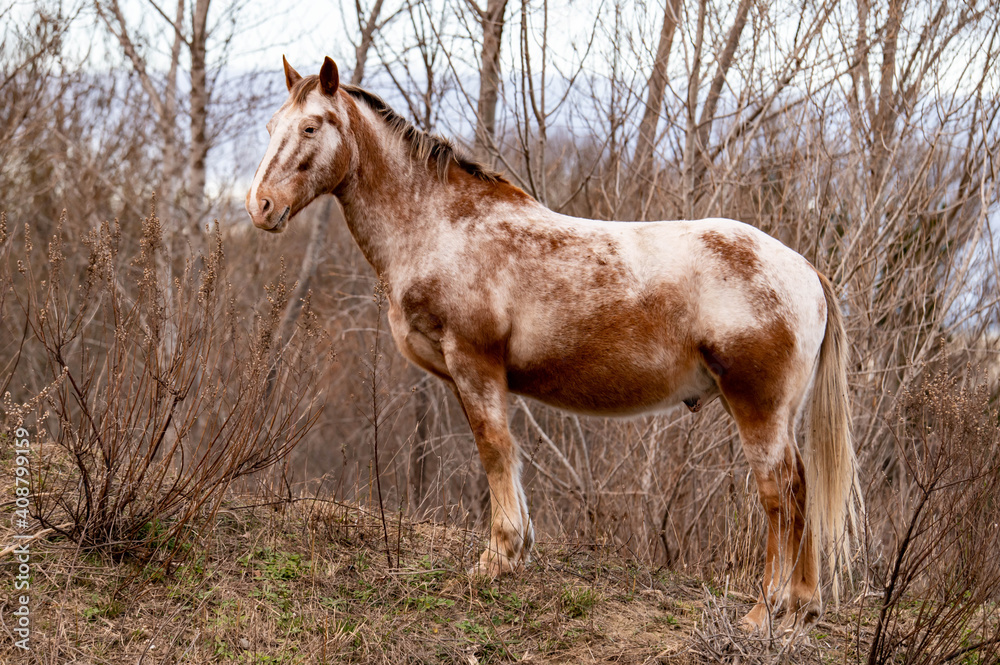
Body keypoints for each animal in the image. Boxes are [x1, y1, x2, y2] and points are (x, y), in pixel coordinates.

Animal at [244, 55, 860, 628]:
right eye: (273, 124)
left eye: (310, 127)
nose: (260, 206)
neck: (444, 228)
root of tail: (806, 268)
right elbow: (508, 455)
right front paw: (517, 551)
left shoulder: (474, 365)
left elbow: (494, 450)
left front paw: (497, 558)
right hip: (776, 412)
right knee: (802, 489)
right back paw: (803, 606)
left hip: (757, 408)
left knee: (780, 493)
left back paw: (763, 612)